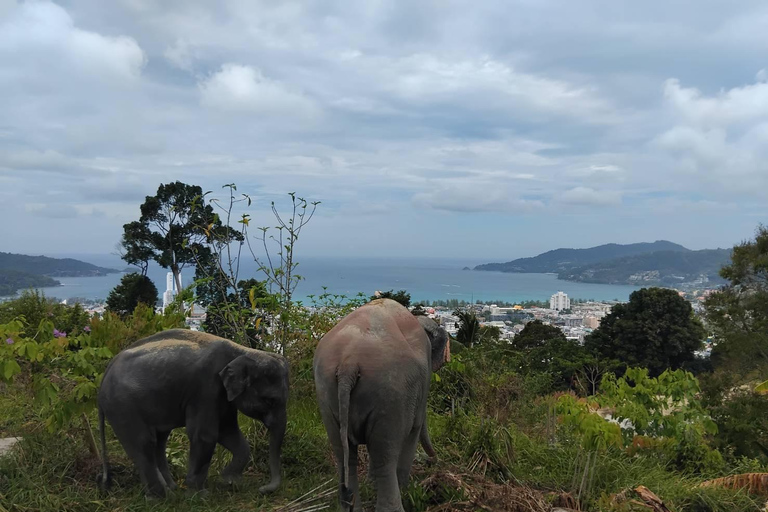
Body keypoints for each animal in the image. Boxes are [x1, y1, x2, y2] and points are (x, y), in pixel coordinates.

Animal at [97, 328, 289, 498]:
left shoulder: (222, 395)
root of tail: (105, 374)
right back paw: (163, 498)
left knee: (159, 441)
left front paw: (230, 482)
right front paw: (200, 496)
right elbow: (206, 435)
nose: (262, 489)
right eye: (269, 401)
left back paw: (172, 489)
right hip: (123, 406)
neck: (241, 351)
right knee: (144, 443)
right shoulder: (205, 389)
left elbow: (228, 431)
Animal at [313, 298, 450, 512]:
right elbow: (415, 428)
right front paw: (406, 488)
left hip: (326, 393)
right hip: (389, 395)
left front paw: (372, 483)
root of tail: (348, 364)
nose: (432, 461)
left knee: (345, 456)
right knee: (384, 457)